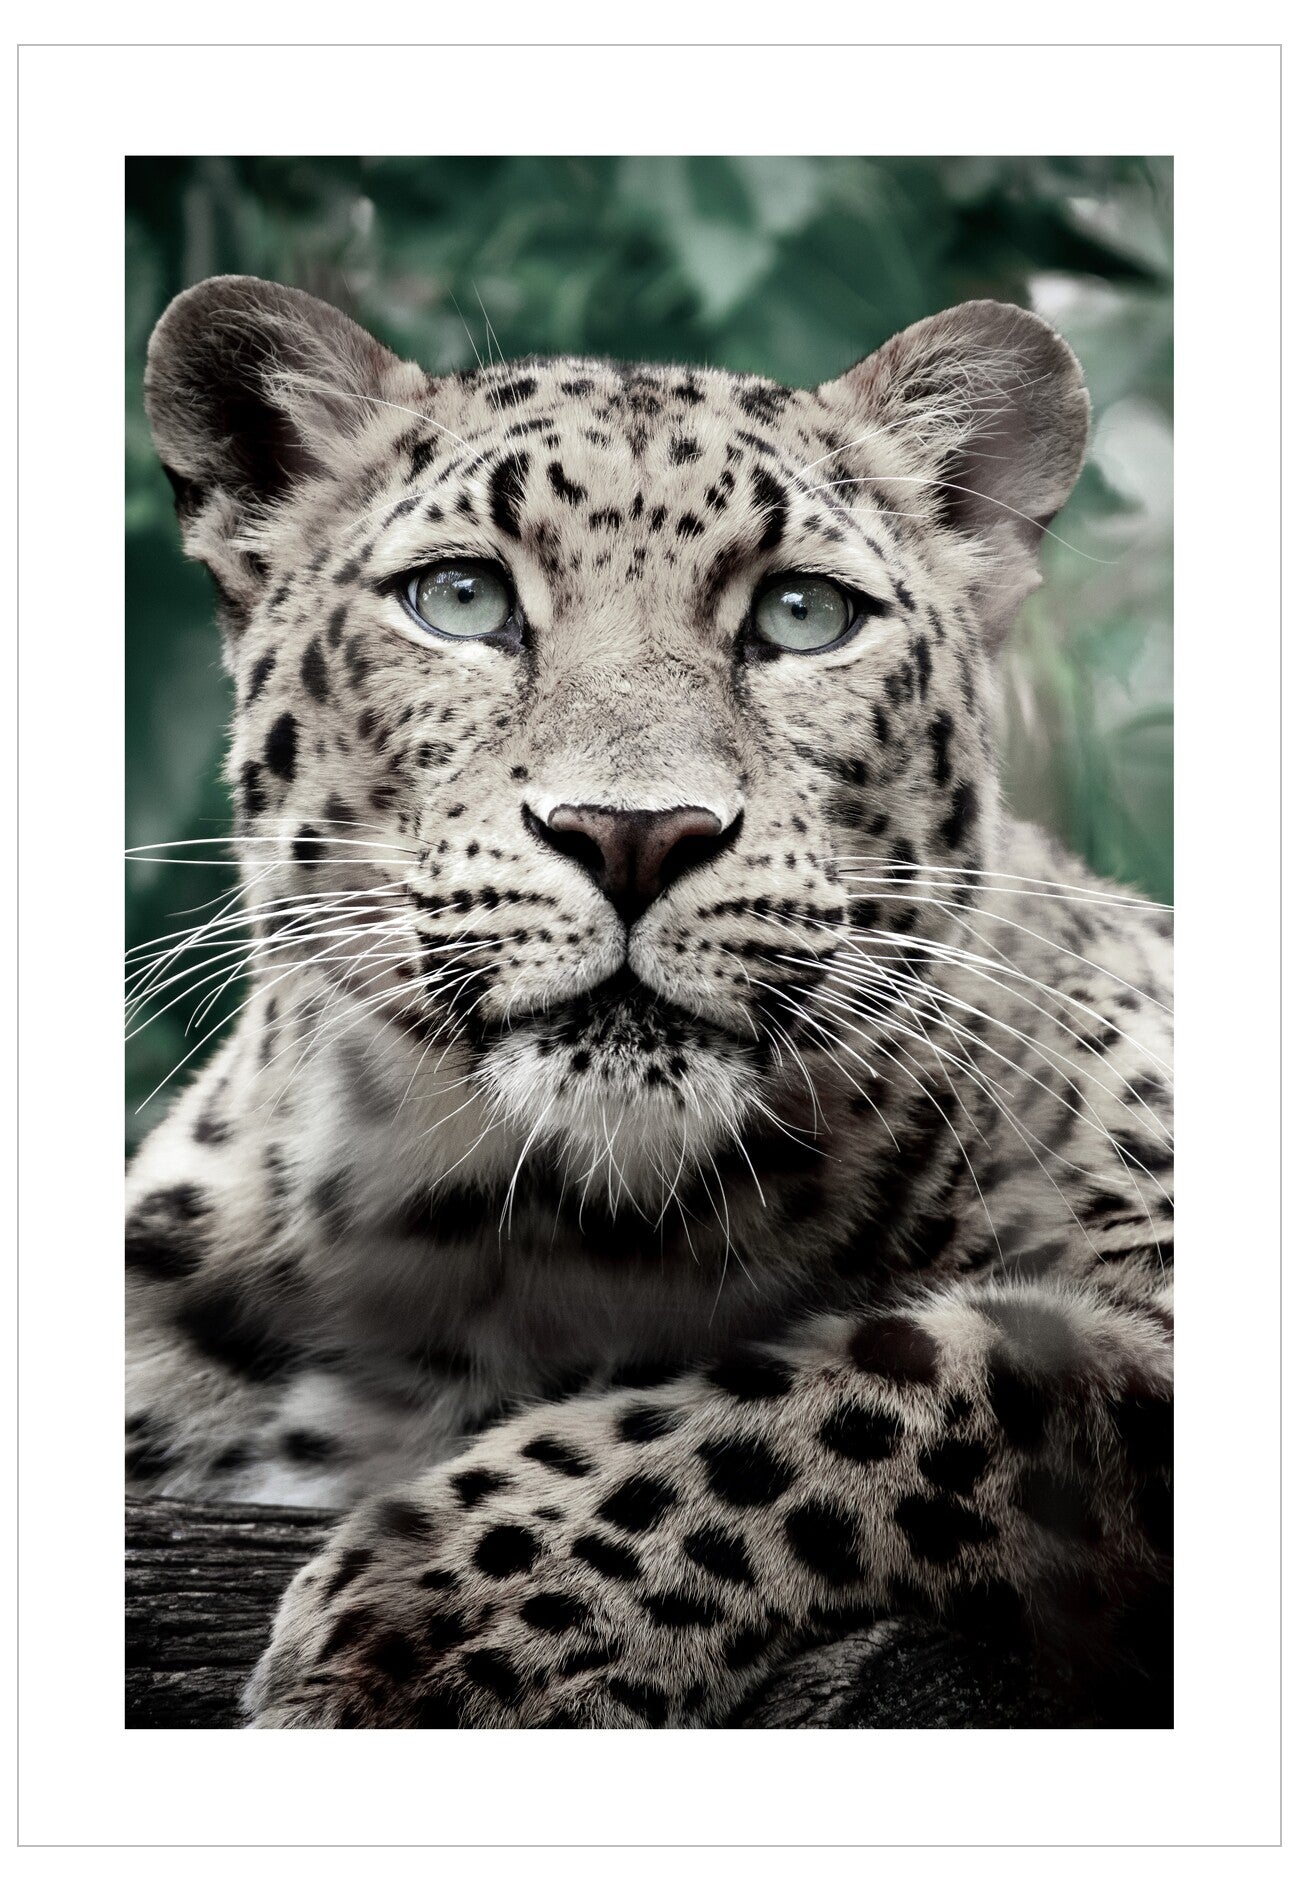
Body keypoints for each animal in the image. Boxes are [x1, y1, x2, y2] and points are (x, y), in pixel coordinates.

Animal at [126, 275, 1172, 1729]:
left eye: (801, 614)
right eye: (460, 598)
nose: (632, 834)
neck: (511, 1235)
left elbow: (879, 1384)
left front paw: (439, 1622)